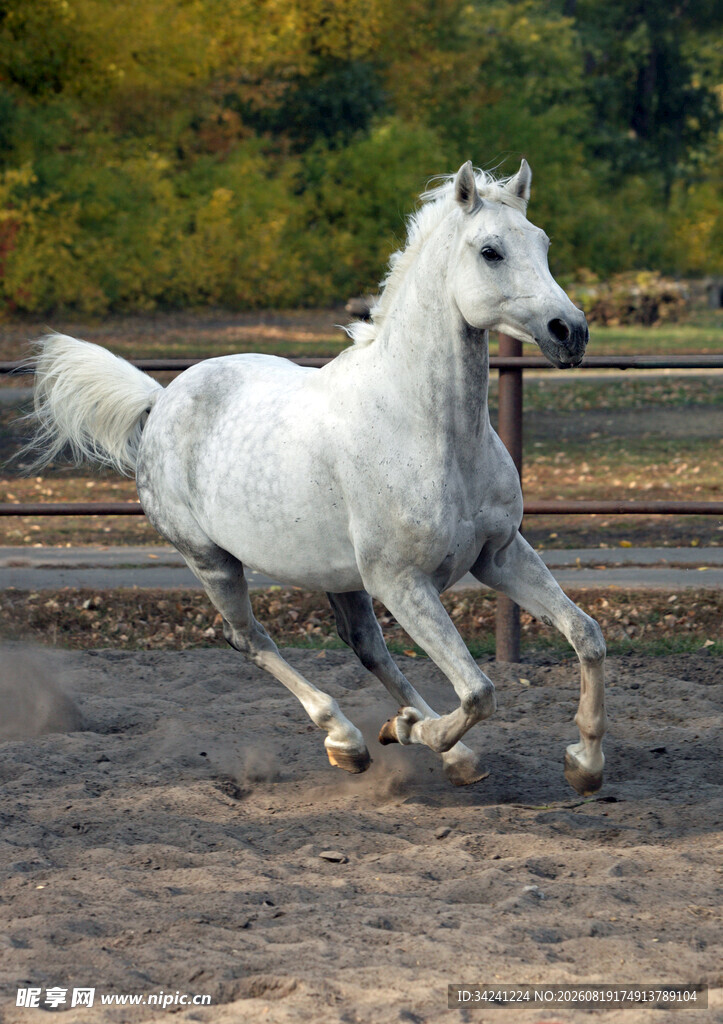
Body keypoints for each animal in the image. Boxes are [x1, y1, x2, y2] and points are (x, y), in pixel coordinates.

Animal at [25, 160, 606, 794]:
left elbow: (586, 636)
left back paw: (440, 751)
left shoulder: (497, 555)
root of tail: (160, 400)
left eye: (543, 244)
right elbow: (479, 692)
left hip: (342, 576)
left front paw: (585, 764)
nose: (570, 331)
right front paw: (409, 732)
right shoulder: (403, 582)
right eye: (490, 251)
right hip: (213, 560)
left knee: (367, 647)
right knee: (248, 638)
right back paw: (350, 740)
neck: (428, 429)